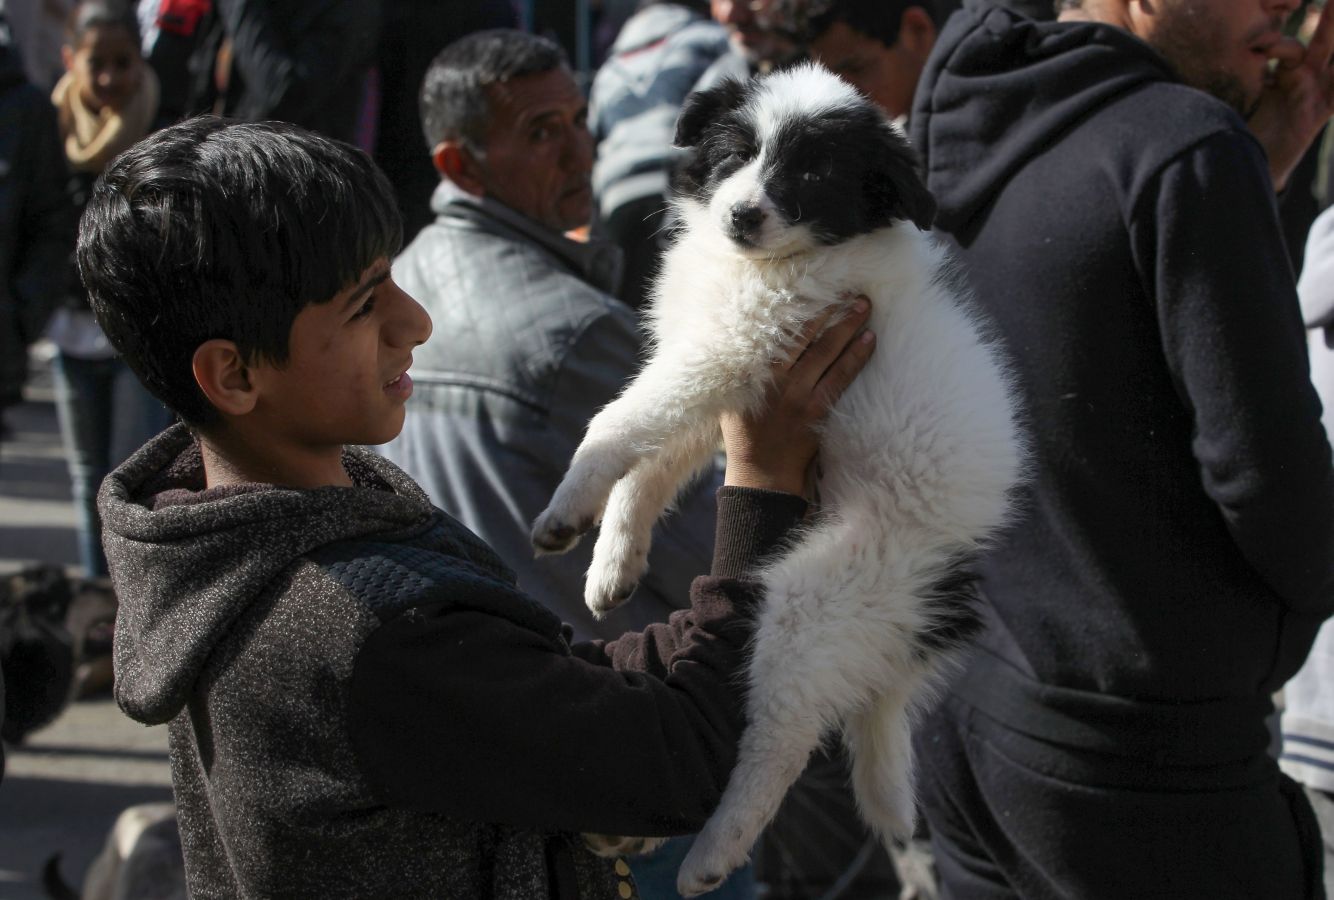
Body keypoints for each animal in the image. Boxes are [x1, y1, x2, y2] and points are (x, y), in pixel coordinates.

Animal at [530, 63, 1019, 896]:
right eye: (736, 153)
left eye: (813, 174)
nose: (741, 215)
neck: (769, 264)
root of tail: (946, 585)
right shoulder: (723, 379)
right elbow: (648, 467)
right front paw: (612, 563)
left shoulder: (732, 348)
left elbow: (616, 423)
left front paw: (568, 506)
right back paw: (626, 836)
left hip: (814, 600)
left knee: (779, 740)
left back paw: (711, 854)